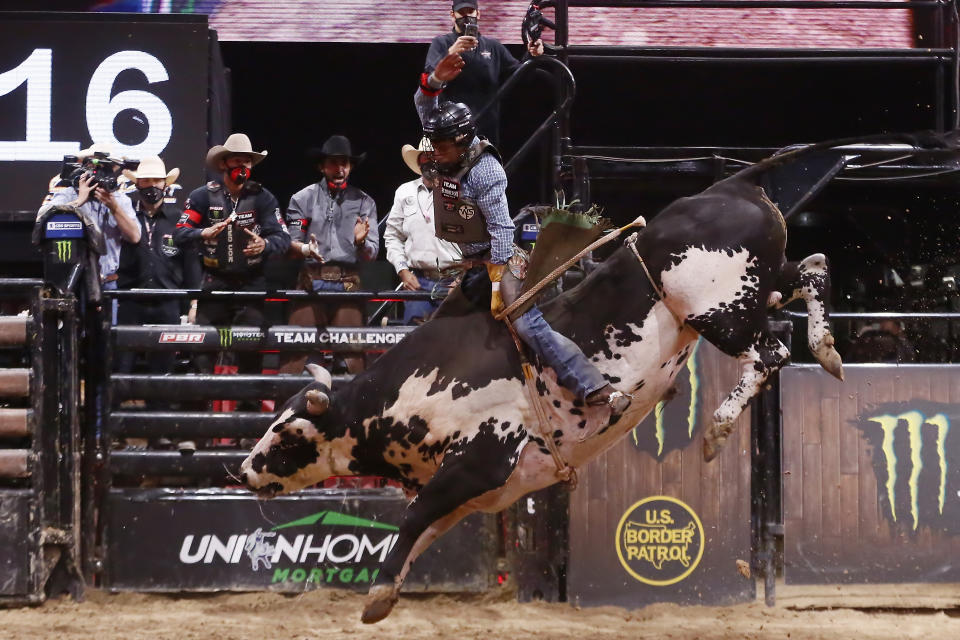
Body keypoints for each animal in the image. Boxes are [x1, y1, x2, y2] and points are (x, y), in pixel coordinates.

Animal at [236, 134, 940, 620]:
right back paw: (828, 350)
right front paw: (386, 592)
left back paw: (717, 428)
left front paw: (377, 599)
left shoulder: (480, 459)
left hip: (717, 312)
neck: (408, 391)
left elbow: (411, 523)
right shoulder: (483, 490)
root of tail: (734, 186)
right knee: (812, 270)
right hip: (758, 284)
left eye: (288, 434)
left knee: (769, 348)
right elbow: (420, 530)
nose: (241, 472)